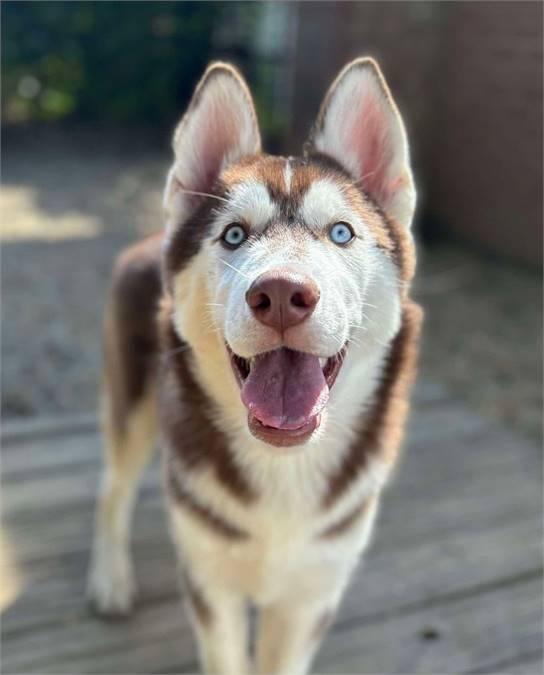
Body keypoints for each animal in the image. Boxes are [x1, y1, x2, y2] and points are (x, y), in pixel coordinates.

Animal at [87, 59, 422, 675]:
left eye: (341, 232)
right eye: (234, 234)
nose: (283, 294)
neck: (283, 468)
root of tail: (152, 235)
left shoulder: (311, 595)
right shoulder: (210, 585)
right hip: (134, 407)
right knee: (112, 487)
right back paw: (110, 578)